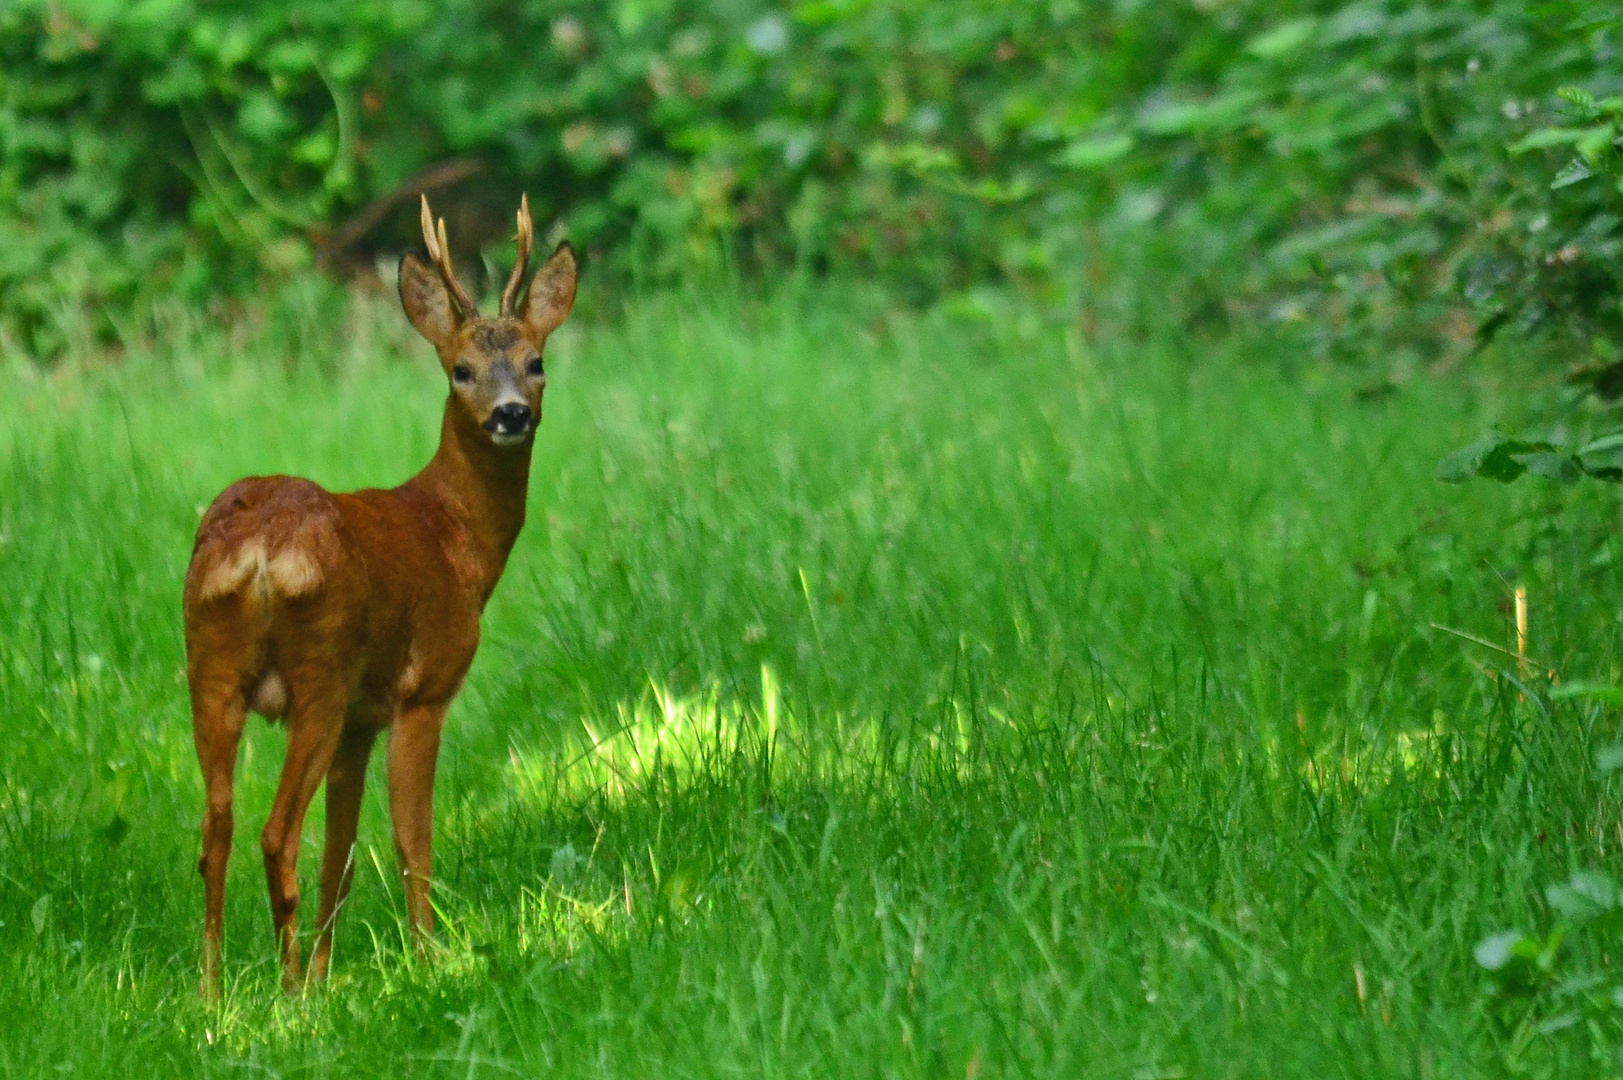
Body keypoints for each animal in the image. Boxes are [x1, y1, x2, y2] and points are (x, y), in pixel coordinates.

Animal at [182, 198, 577, 1000]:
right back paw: (290, 994)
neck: (453, 536)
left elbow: (342, 855)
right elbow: (410, 840)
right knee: (276, 833)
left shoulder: (363, 720)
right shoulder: (421, 689)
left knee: (217, 830)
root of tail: (259, 549)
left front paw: (333, 970)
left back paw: (212, 993)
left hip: (209, 667)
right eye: (460, 369)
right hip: (320, 673)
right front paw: (429, 961)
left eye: (537, 362)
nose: (511, 414)